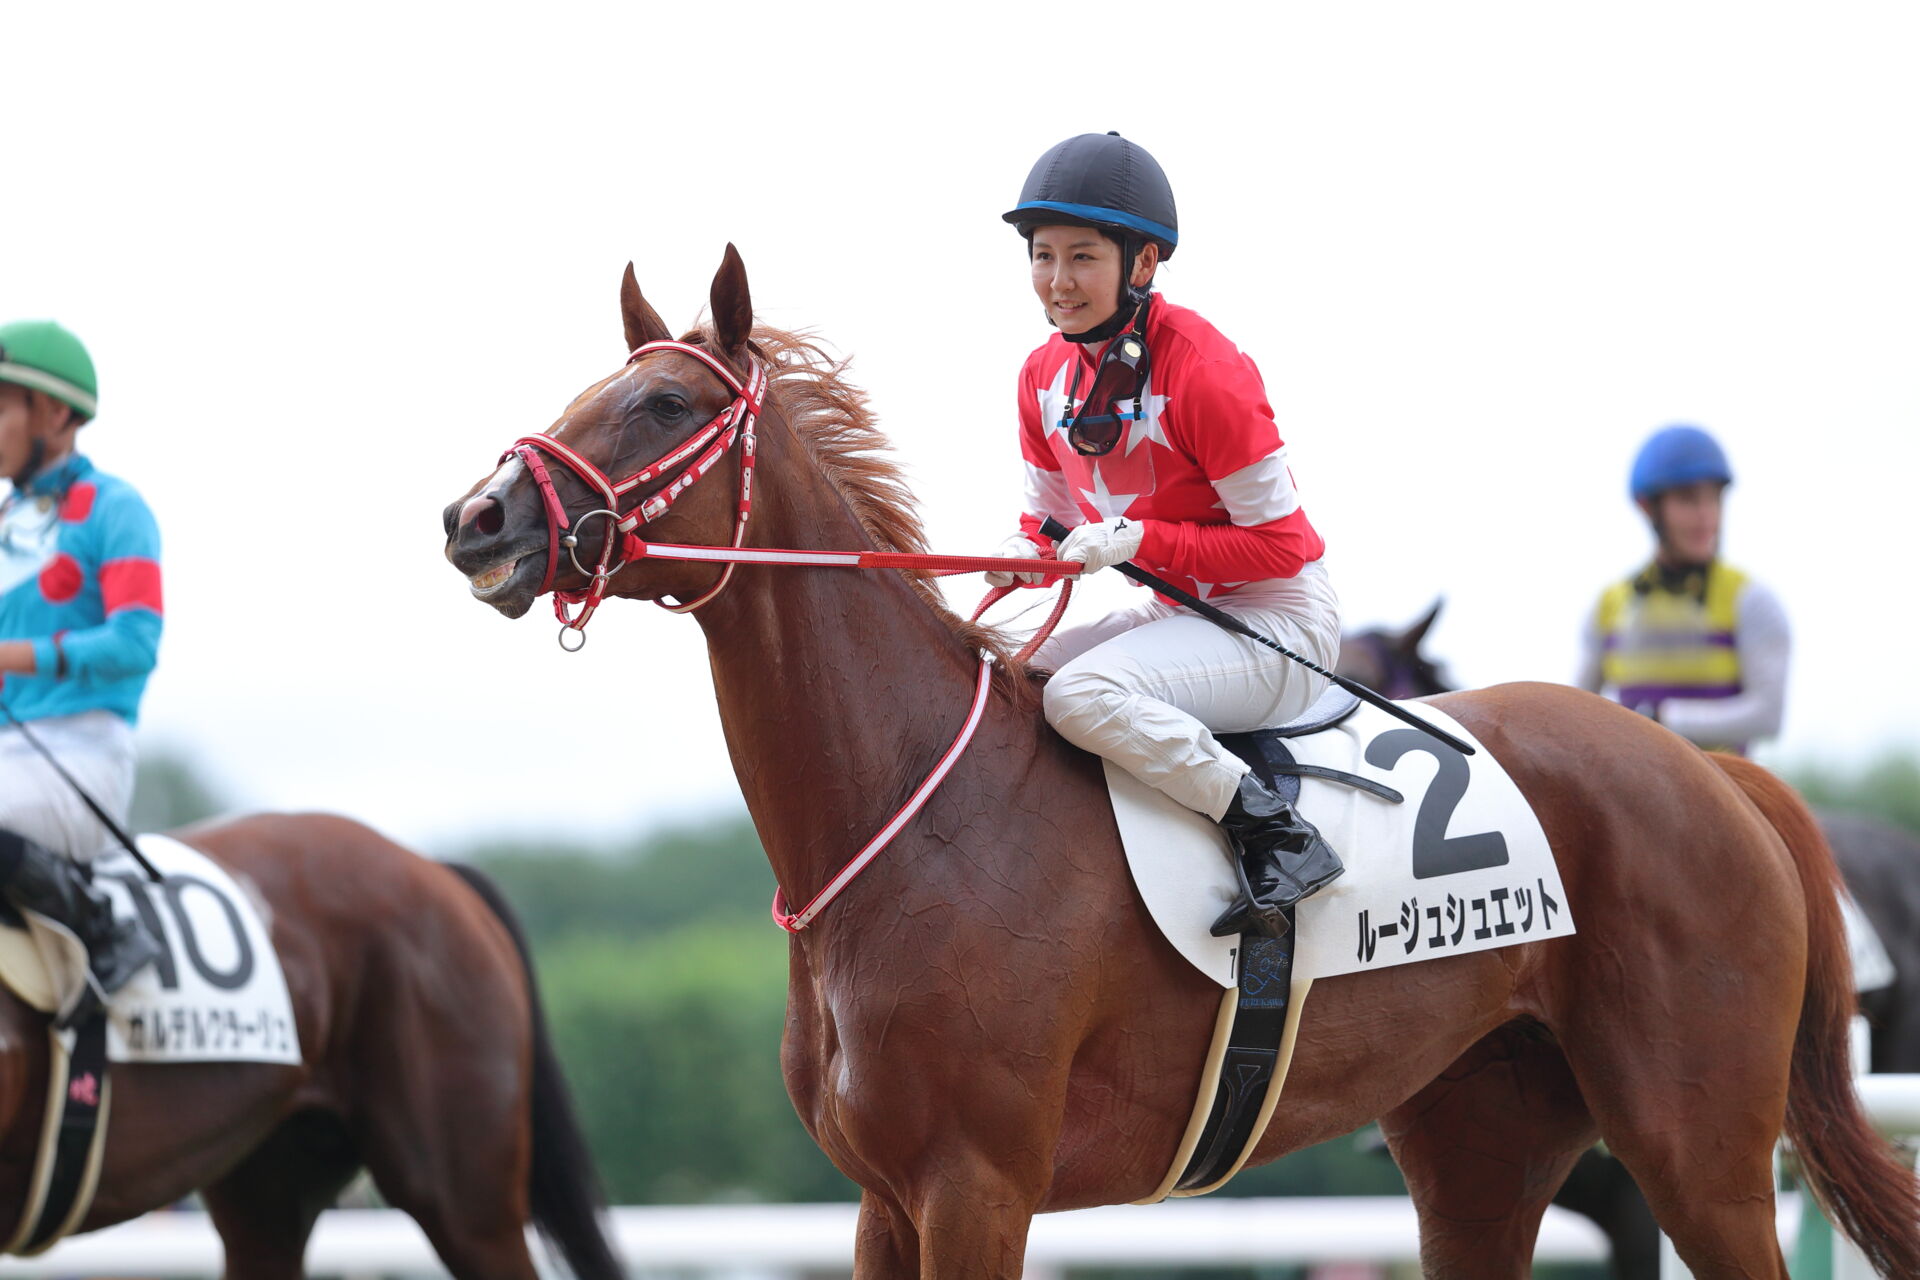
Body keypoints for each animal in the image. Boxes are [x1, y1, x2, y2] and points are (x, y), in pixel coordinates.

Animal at [439, 249, 1920, 1280]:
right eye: (590, 388)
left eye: (662, 402)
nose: (477, 517)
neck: (905, 813)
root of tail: (1709, 774)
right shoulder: (881, 1199)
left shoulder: (977, 1183)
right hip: (1483, 1144)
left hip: (1699, 1144)